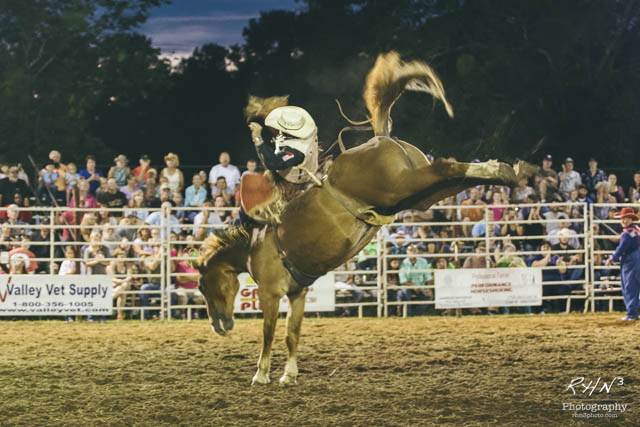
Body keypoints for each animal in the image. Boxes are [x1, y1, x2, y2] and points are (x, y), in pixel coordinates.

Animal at [196, 51, 536, 386]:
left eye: (202, 286)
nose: (219, 325)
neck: (254, 245)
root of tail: (380, 138)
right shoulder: (297, 293)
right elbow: (293, 334)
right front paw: (289, 374)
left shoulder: (269, 293)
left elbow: (268, 334)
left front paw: (261, 374)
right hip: (416, 193)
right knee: (451, 177)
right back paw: (507, 171)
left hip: (399, 186)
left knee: (446, 168)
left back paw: (504, 169)